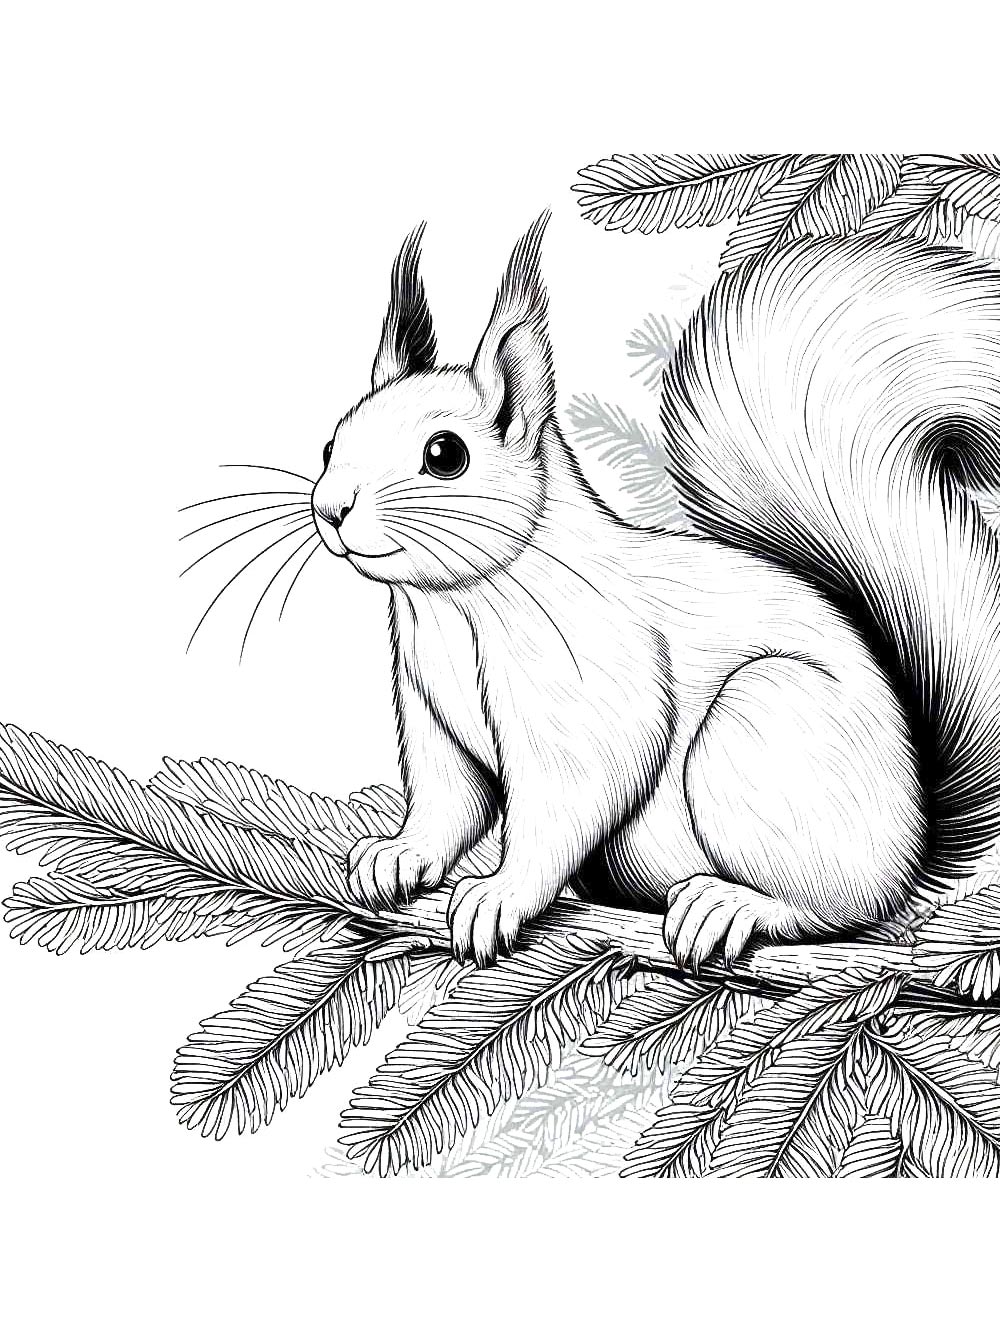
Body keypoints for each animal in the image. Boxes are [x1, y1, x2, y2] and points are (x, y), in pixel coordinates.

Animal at [311, 212, 1000, 968]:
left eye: (445, 455)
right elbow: (447, 801)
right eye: (331, 443)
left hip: (766, 725)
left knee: (840, 907)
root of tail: (914, 844)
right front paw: (399, 855)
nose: (331, 507)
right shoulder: (430, 712)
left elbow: (569, 799)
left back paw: (731, 905)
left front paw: (500, 894)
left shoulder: (589, 689)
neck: (458, 604)